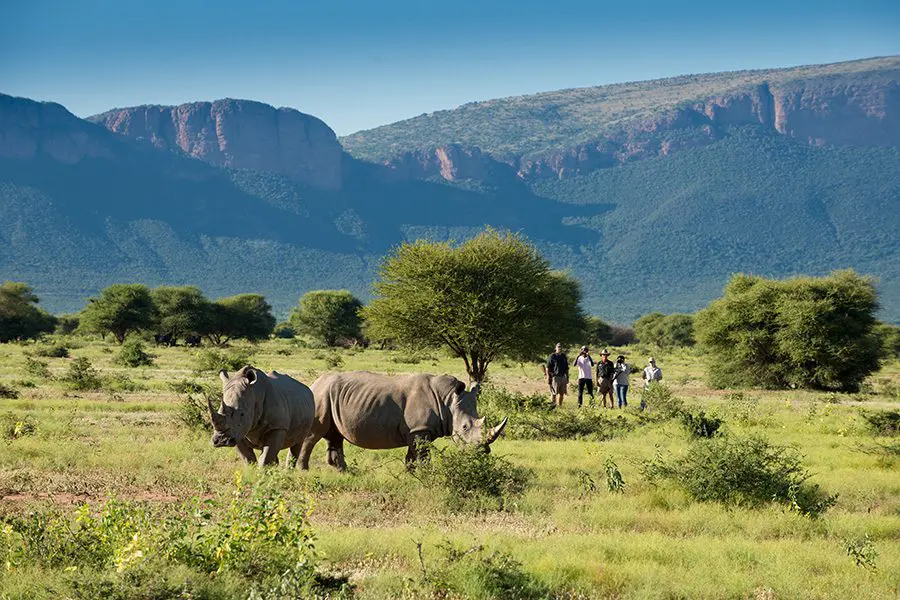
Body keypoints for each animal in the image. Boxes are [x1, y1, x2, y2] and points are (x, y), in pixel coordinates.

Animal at [300, 370, 506, 474]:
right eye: (464, 427)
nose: (482, 452)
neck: (447, 401)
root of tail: (314, 382)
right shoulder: (420, 429)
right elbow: (423, 456)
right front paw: (427, 476)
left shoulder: (417, 431)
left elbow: (412, 456)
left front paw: (411, 475)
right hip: (321, 395)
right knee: (313, 435)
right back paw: (303, 471)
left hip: (330, 396)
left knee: (335, 436)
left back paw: (344, 472)